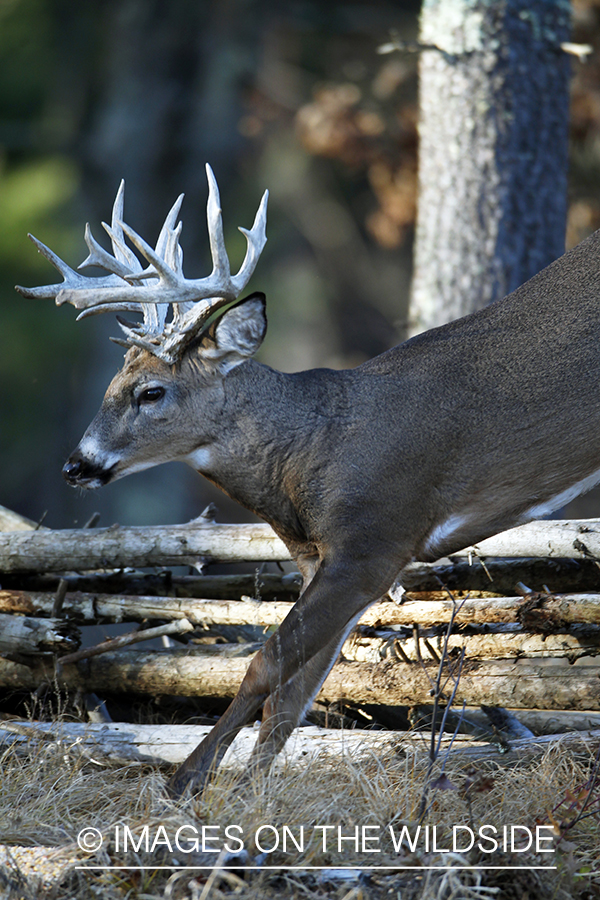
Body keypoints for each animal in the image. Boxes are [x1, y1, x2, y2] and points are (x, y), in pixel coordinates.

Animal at [14, 162, 600, 796]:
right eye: (112, 384)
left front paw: (186, 785)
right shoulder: (317, 557)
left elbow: (265, 665)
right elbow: (292, 696)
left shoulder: (376, 540)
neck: (310, 457)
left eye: (152, 392)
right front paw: (248, 797)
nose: (77, 464)